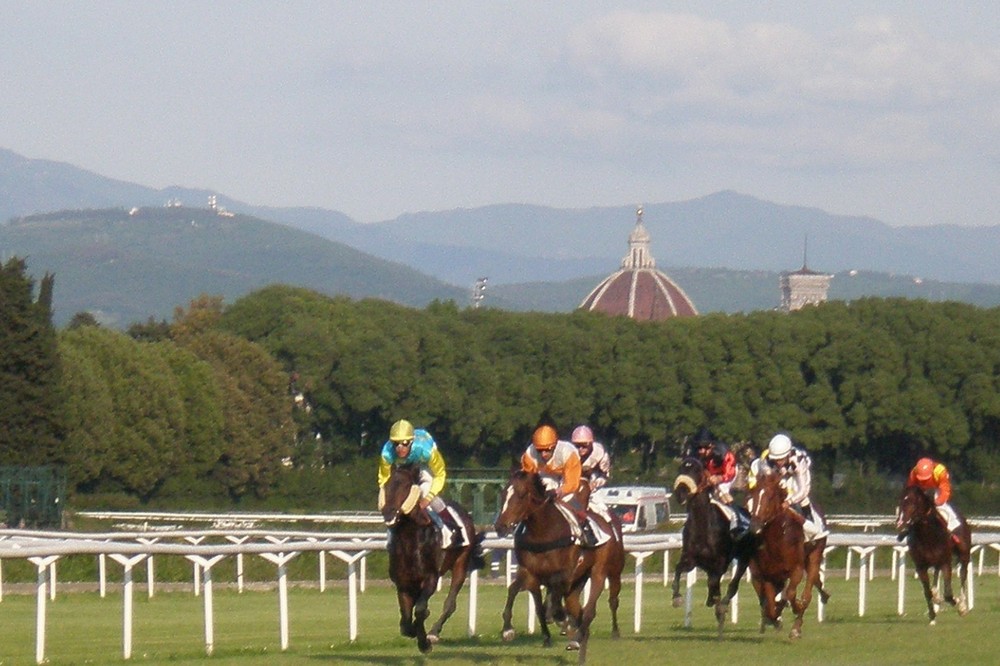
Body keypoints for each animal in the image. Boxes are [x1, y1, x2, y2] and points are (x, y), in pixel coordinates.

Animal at [378, 462, 484, 648]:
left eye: (406, 486)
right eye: (387, 485)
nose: (388, 512)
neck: (410, 541)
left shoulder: (430, 577)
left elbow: (419, 610)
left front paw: (424, 642)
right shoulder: (403, 583)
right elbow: (405, 620)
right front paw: (413, 629)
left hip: (461, 562)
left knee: (450, 603)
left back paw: (434, 632)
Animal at [494, 470, 624, 660]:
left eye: (521, 495)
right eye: (503, 494)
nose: (500, 527)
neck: (543, 533)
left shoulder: (564, 574)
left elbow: (553, 603)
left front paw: (561, 620)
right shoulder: (529, 573)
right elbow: (517, 593)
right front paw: (508, 630)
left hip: (606, 571)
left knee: (600, 604)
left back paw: (597, 635)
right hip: (578, 581)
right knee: (577, 608)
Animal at [668, 454, 752, 636]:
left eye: (697, 470)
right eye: (680, 469)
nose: (681, 492)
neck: (703, 525)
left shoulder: (720, 563)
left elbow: (716, 585)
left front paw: (718, 608)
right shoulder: (691, 559)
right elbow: (678, 569)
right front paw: (677, 597)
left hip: (744, 558)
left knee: (733, 584)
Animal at [744, 466, 828, 640]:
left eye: (770, 497)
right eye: (752, 495)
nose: (755, 526)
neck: (776, 540)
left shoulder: (796, 569)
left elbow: (790, 594)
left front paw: (796, 608)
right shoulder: (767, 575)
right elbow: (770, 605)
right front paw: (774, 618)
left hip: (814, 555)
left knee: (807, 592)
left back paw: (796, 626)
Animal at [896, 482, 972, 624]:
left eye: (913, 502)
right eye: (901, 501)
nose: (900, 522)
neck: (928, 535)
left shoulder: (946, 562)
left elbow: (948, 594)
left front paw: (956, 602)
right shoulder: (920, 566)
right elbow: (927, 592)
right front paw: (932, 615)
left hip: (964, 553)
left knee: (963, 574)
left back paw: (963, 606)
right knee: (936, 573)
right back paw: (937, 596)